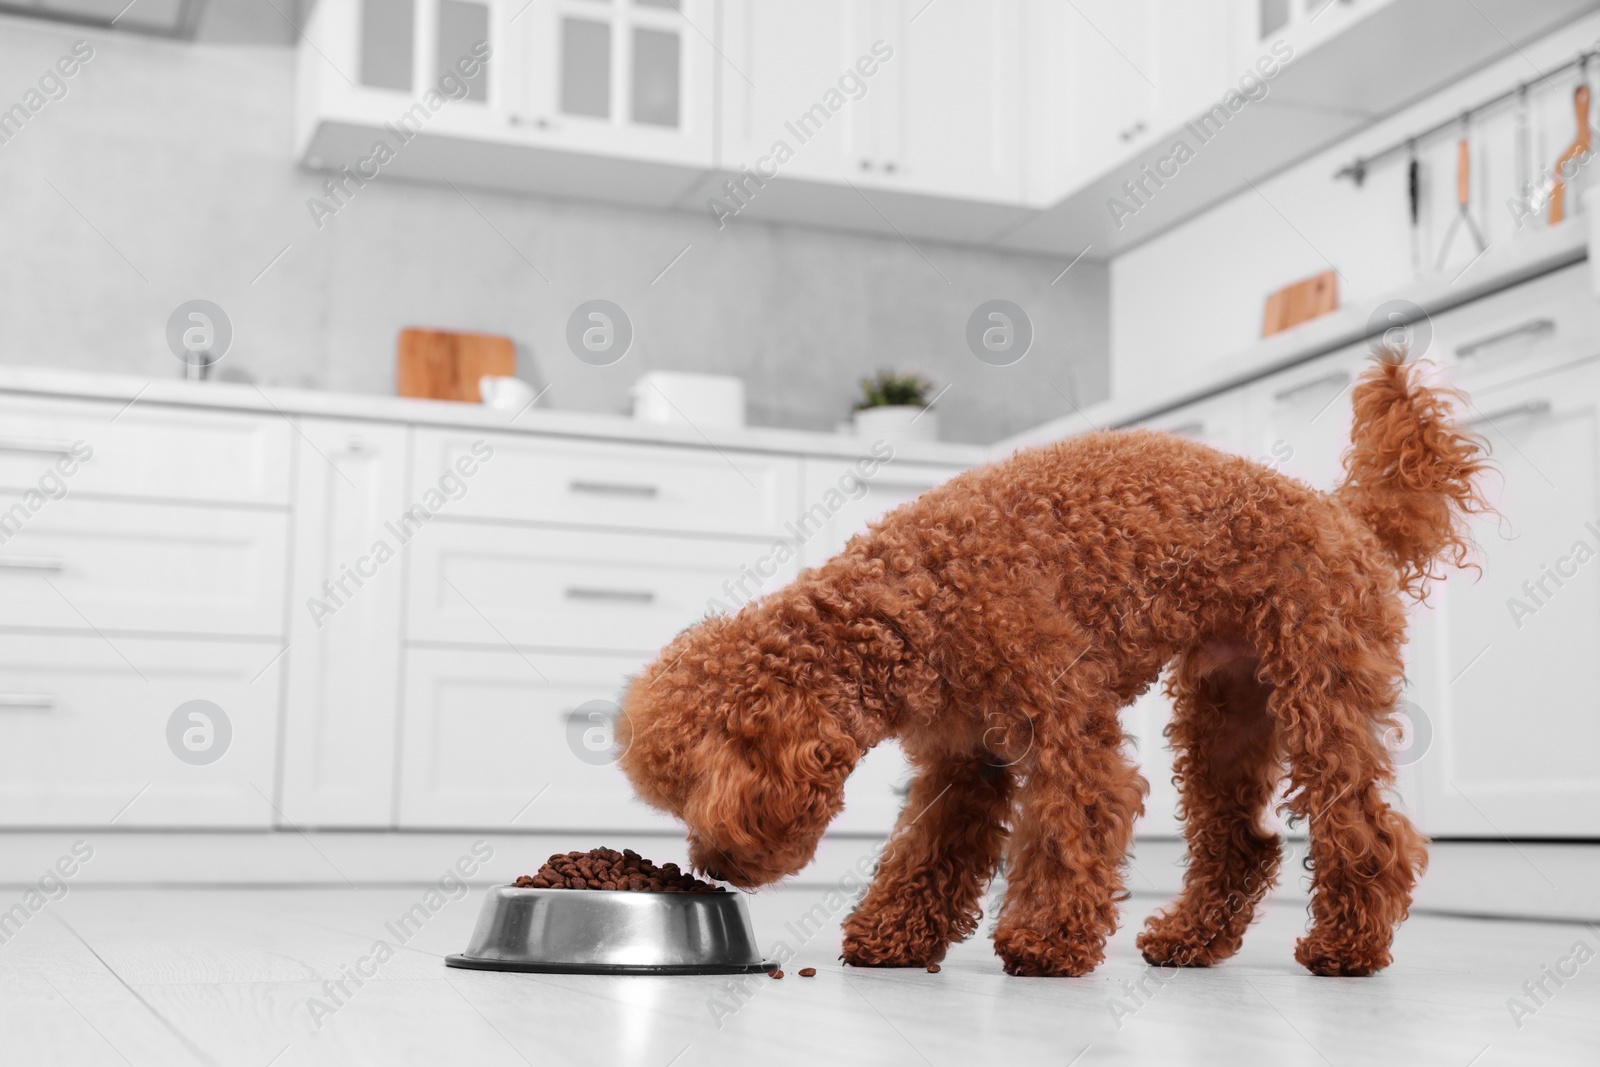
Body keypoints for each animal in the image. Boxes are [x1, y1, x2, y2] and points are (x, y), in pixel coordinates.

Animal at [614, 356, 1484, 979]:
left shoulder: (1064, 726)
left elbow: (1069, 825)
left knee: (1365, 825)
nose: (707, 864)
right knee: (1243, 842)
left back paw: (1349, 946)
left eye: (692, 788)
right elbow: (929, 851)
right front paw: (893, 934)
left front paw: (1043, 941)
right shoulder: (963, 757)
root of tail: (1345, 514)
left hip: (1318, 690)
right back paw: (1189, 940)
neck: (907, 601)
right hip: (1223, 710)